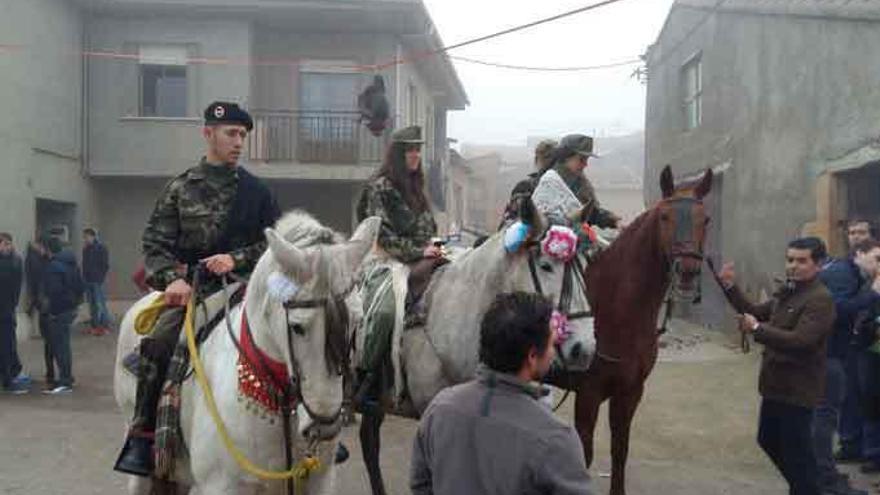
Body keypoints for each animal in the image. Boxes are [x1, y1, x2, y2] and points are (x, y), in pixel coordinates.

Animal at [552, 167, 712, 495]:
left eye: (706, 219)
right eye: (664, 216)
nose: (687, 271)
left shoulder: (630, 391)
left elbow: (620, 450)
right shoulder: (589, 393)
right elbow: (585, 453)